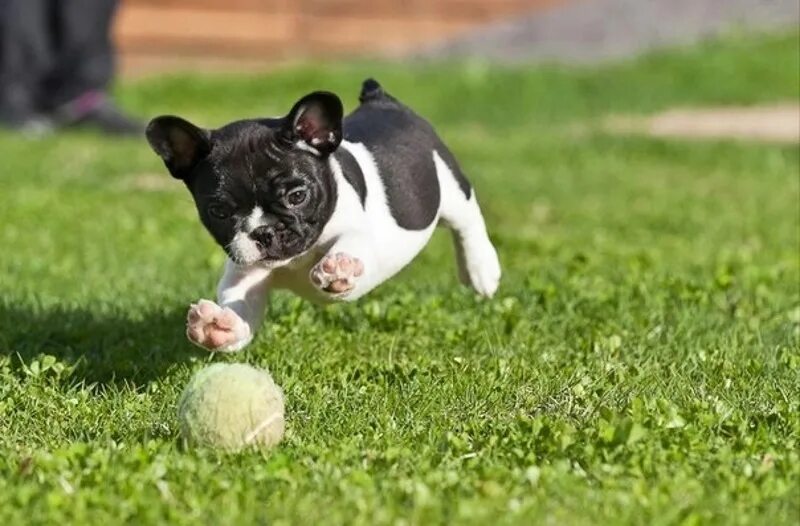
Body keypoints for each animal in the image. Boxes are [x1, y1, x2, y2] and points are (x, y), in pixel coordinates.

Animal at [145, 80, 500, 352]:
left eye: (297, 196)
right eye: (219, 211)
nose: (263, 232)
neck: (295, 261)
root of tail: (382, 100)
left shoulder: (360, 235)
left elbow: (351, 244)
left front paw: (338, 267)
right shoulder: (243, 275)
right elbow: (240, 304)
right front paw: (218, 327)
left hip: (449, 184)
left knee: (468, 220)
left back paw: (481, 269)